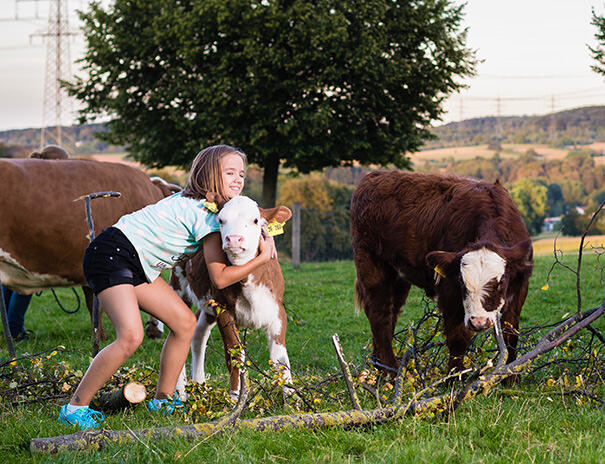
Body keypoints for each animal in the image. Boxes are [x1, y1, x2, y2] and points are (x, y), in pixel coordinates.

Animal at [350, 172, 532, 376]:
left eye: (500, 282)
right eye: (461, 281)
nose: (478, 322)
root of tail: (374, 176)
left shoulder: (519, 291)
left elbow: (511, 336)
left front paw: (511, 376)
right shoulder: (449, 291)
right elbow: (458, 338)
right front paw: (453, 377)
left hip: (398, 279)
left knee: (390, 314)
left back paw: (378, 366)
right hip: (372, 267)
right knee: (379, 315)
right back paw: (390, 371)